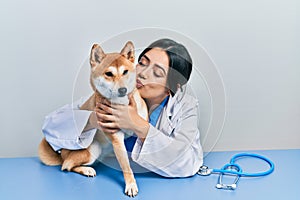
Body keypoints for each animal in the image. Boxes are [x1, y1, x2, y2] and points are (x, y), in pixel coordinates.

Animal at [38, 41, 148, 197]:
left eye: (125, 72)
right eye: (109, 74)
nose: (123, 90)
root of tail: (62, 154)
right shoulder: (117, 139)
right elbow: (126, 166)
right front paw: (131, 184)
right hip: (93, 148)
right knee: (66, 166)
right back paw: (86, 169)